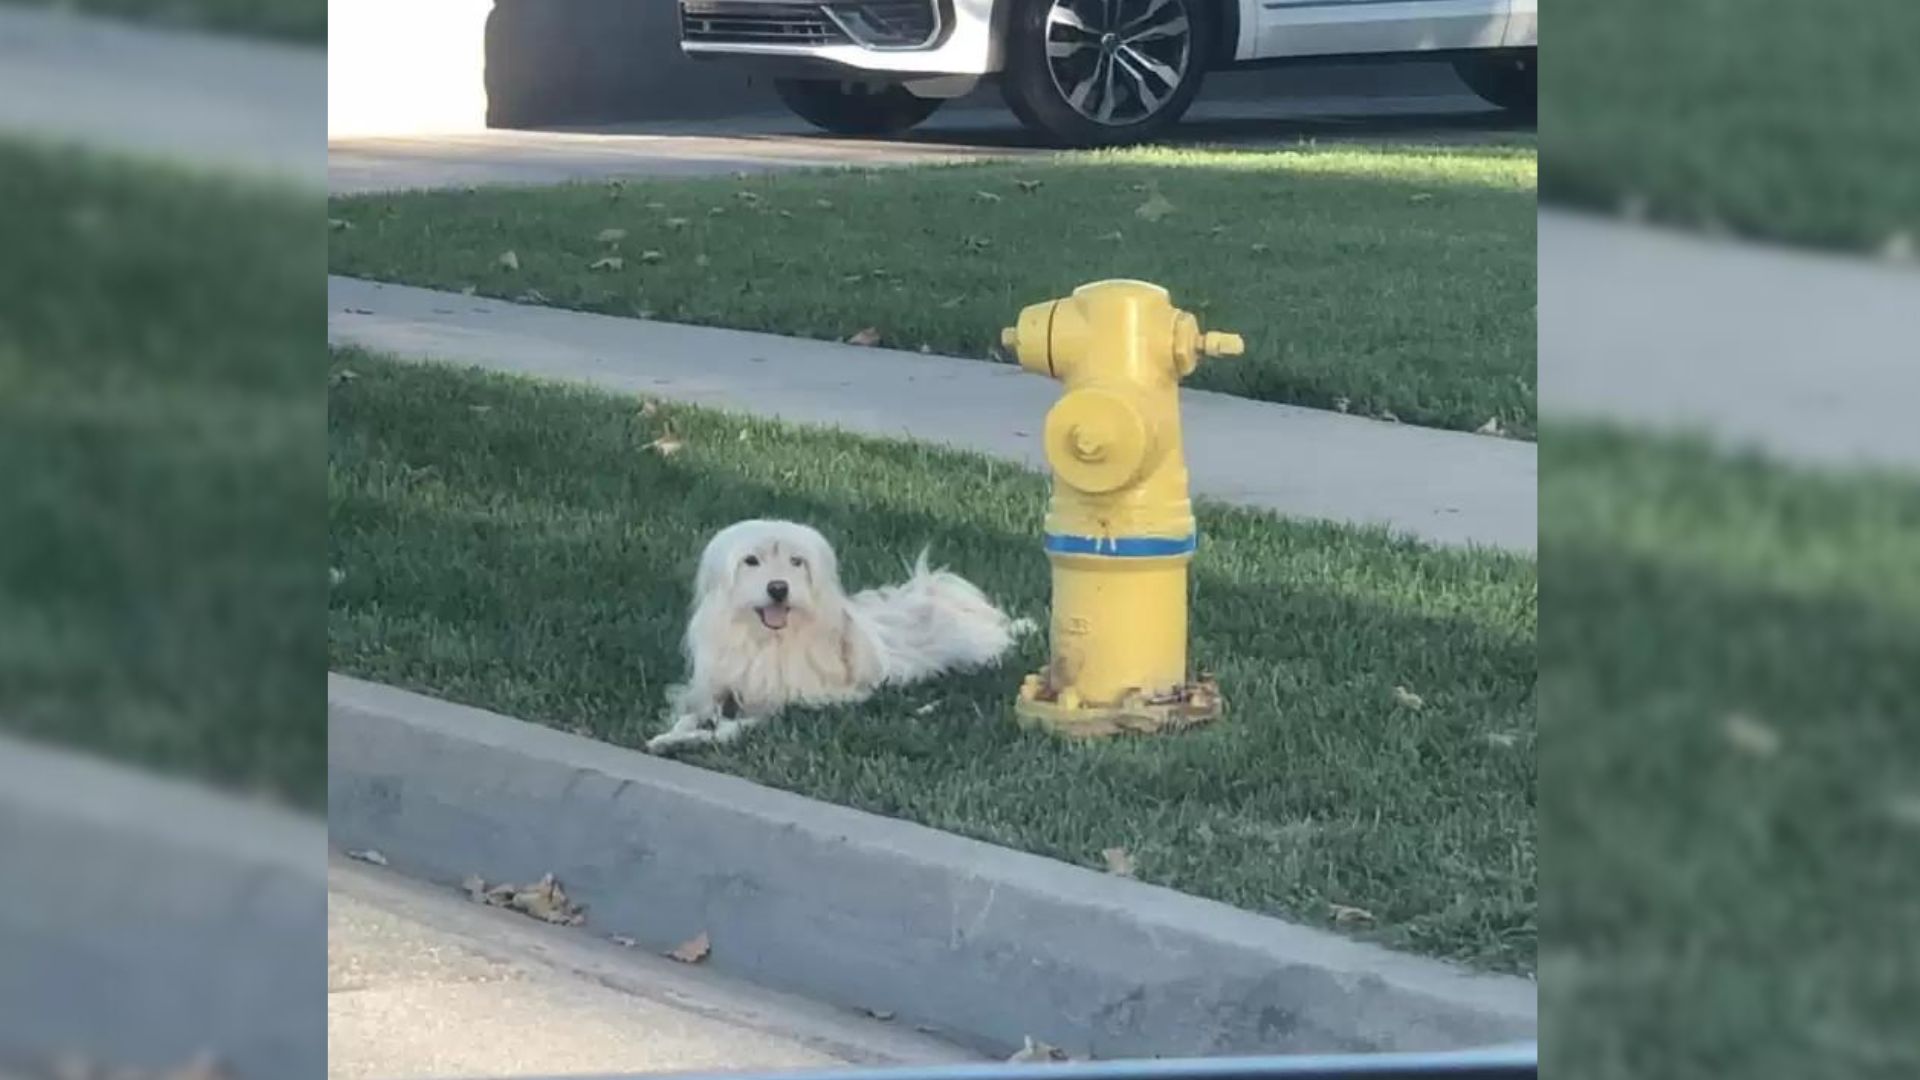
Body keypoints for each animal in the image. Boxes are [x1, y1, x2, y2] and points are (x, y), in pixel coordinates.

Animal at [645, 518, 1036, 753]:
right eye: (751, 561)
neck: (768, 641)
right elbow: (691, 714)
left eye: (797, 561)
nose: (778, 588)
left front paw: (700, 737)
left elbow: (734, 728)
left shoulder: (794, 702)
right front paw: (668, 736)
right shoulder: (712, 690)